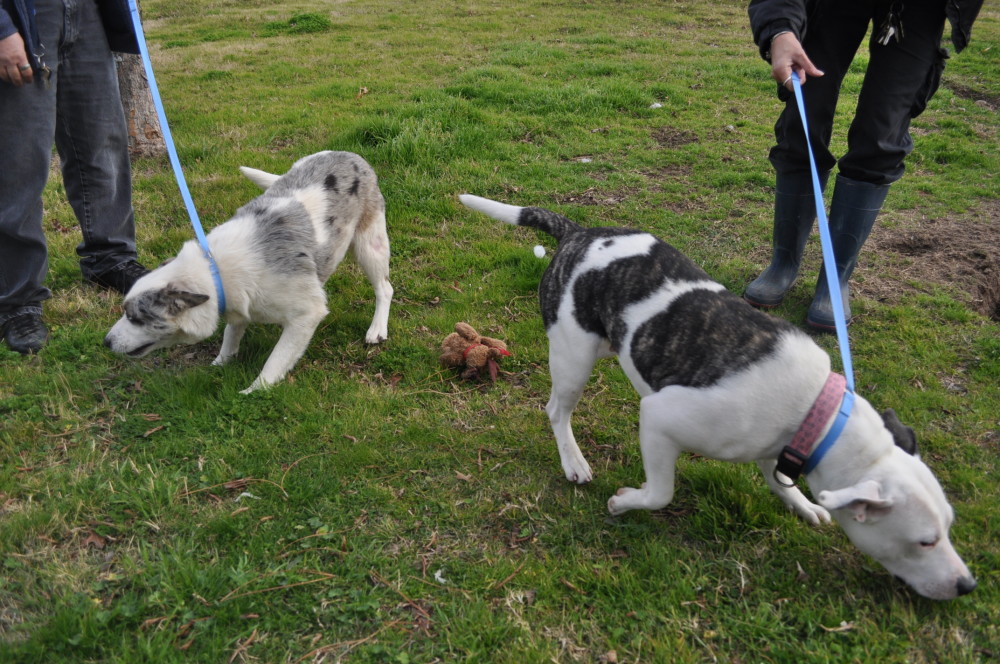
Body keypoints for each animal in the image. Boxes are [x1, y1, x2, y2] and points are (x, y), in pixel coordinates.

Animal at [105, 152, 392, 392]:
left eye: (135, 318)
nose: (106, 342)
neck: (215, 270)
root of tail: (349, 155)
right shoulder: (236, 303)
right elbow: (231, 335)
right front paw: (221, 363)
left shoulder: (307, 315)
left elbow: (276, 360)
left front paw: (254, 392)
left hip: (370, 246)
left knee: (384, 288)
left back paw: (377, 329)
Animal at [460, 193, 976, 600]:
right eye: (926, 541)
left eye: (951, 528)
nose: (967, 584)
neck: (819, 418)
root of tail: (578, 234)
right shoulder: (659, 416)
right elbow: (661, 493)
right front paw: (624, 502)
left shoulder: (776, 448)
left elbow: (779, 483)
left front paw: (805, 506)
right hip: (573, 357)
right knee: (557, 410)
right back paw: (573, 460)